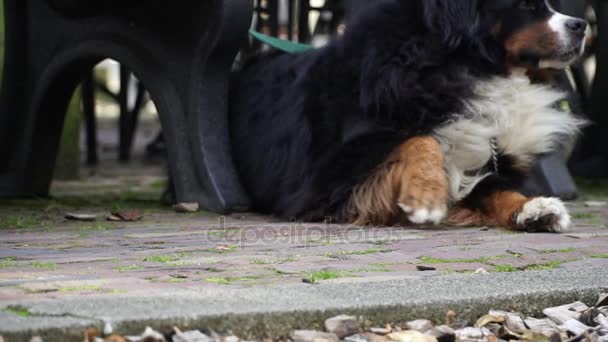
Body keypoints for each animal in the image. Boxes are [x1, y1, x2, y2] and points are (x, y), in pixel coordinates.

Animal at [227, 0, 584, 232]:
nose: (580, 25)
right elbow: (420, 139)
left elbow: (494, 187)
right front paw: (426, 195)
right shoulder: (324, 178)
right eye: (525, 4)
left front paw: (534, 208)